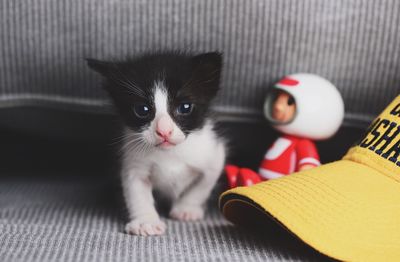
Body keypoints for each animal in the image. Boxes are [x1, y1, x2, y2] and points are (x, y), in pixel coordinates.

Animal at [86, 52, 225, 236]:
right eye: (142, 110)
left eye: (185, 107)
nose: (164, 131)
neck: (169, 153)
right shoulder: (133, 160)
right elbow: (136, 191)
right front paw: (146, 221)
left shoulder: (213, 154)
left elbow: (203, 185)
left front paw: (186, 209)